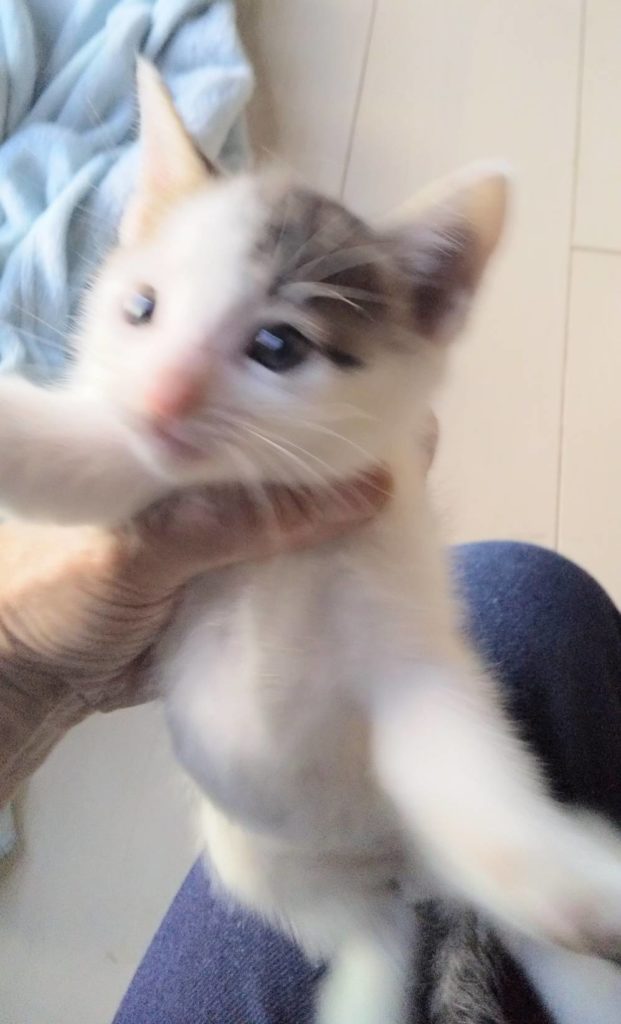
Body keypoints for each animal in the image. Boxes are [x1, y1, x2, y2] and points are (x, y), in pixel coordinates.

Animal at [1, 61, 621, 1023]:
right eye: (140, 307)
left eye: (275, 344)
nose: (162, 398)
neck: (279, 559)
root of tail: (402, 870)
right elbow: (101, 457)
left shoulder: (410, 654)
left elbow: (460, 768)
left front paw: (573, 883)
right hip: (250, 855)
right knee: (376, 933)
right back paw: (363, 989)